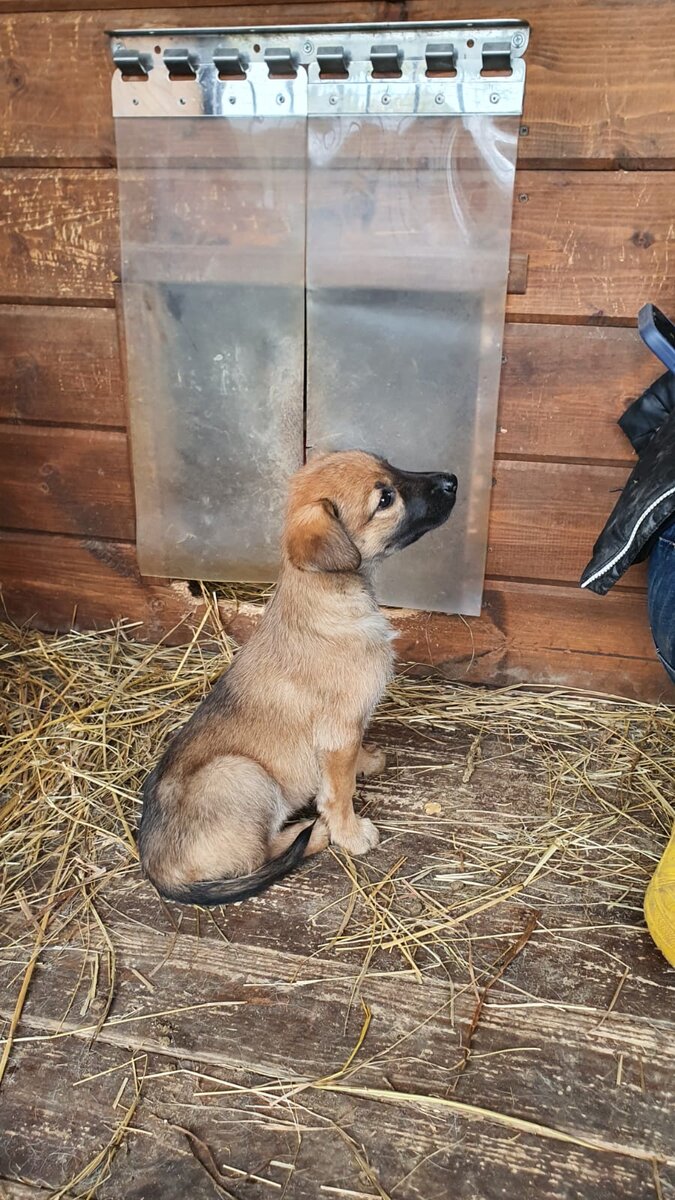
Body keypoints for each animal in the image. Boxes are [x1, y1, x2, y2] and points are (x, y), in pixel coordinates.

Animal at [138, 451, 454, 902]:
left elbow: (350, 765)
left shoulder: (348, 730)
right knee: (260, 853)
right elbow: (339, 793)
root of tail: (159, 871)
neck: (329, 594)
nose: (453, 480)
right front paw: (350, 834)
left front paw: (366, 761)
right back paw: (314, 833)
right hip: (244, 775)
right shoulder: (338, 732)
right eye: (385, 499)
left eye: (391, 466)